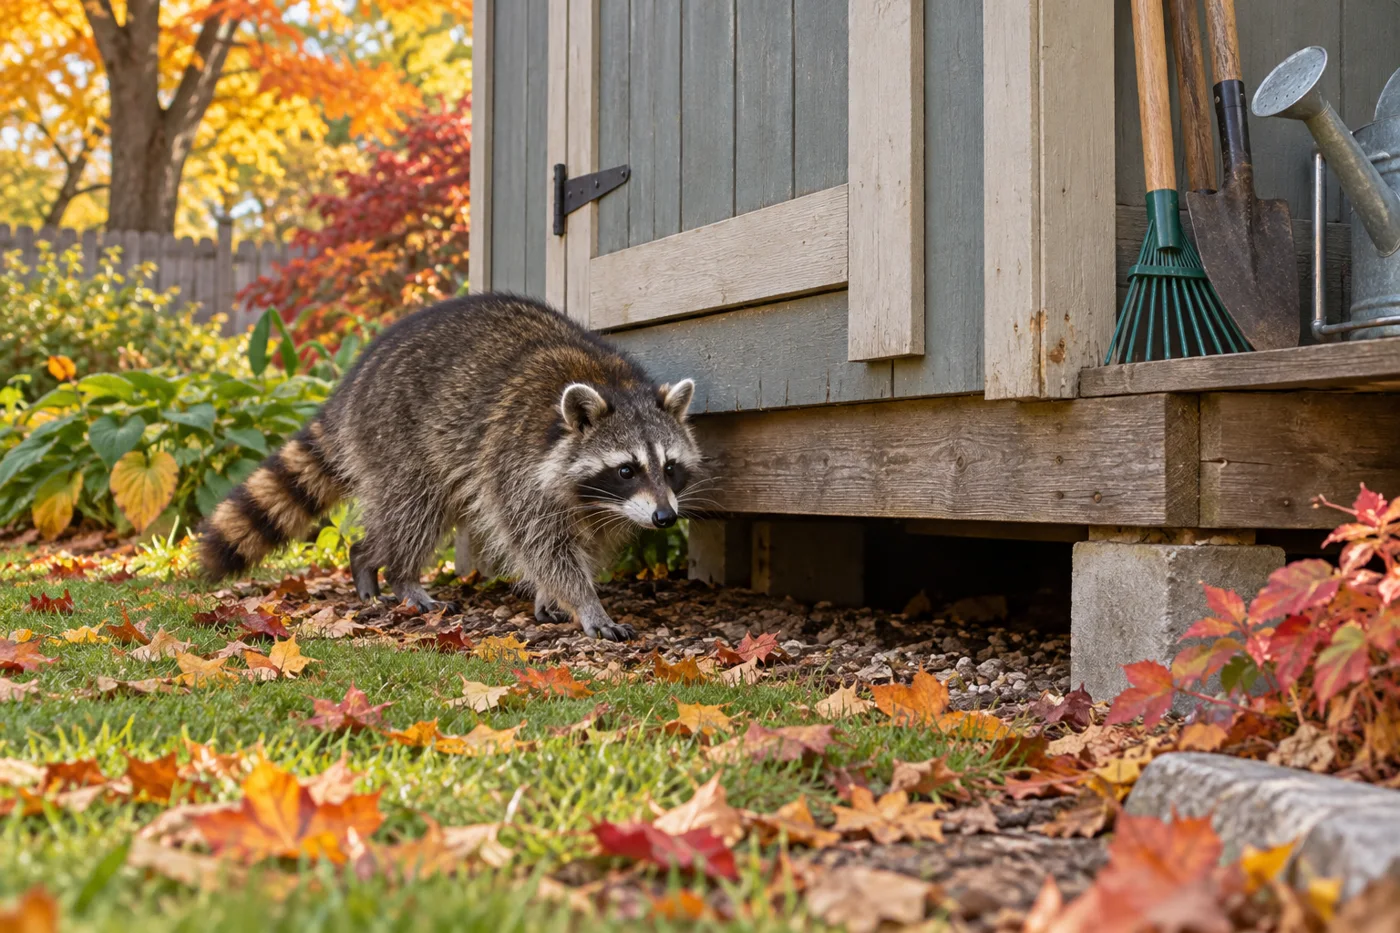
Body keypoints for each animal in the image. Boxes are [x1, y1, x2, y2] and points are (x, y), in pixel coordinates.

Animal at [198, 293, 704, 641]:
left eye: (670, 467)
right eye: (627, 470)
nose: (666, 518)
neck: (612, 383)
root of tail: (354, 380)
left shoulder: (604, 506)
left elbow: (587, 544)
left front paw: (555, 594)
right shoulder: (515, 462)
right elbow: (542, 544)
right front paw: (586, 602)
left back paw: (364, 557)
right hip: (397, 435)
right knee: (414, 512)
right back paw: (400, 574)